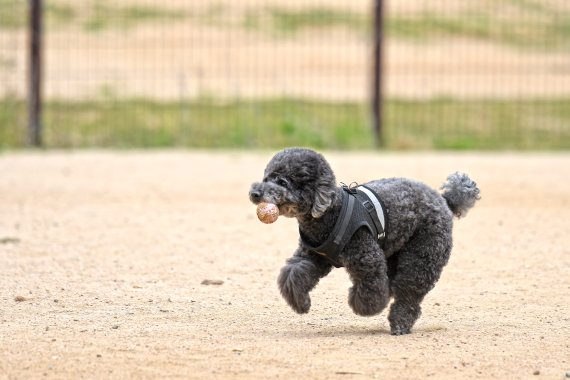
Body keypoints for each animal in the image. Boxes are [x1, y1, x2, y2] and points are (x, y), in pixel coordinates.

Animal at [248, 147, 480, 334]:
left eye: (282, 182)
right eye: (266, 177)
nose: (255, 193)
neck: (330, 213)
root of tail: (444, 201)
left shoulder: (366, 257)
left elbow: (371, 287)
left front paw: (365, 306)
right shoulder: (313, 256)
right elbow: (293, 274)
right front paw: (301, 303)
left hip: (423, 253)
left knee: (409, 291)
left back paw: (400, 323)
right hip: (394, 252)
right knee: (395, 283)